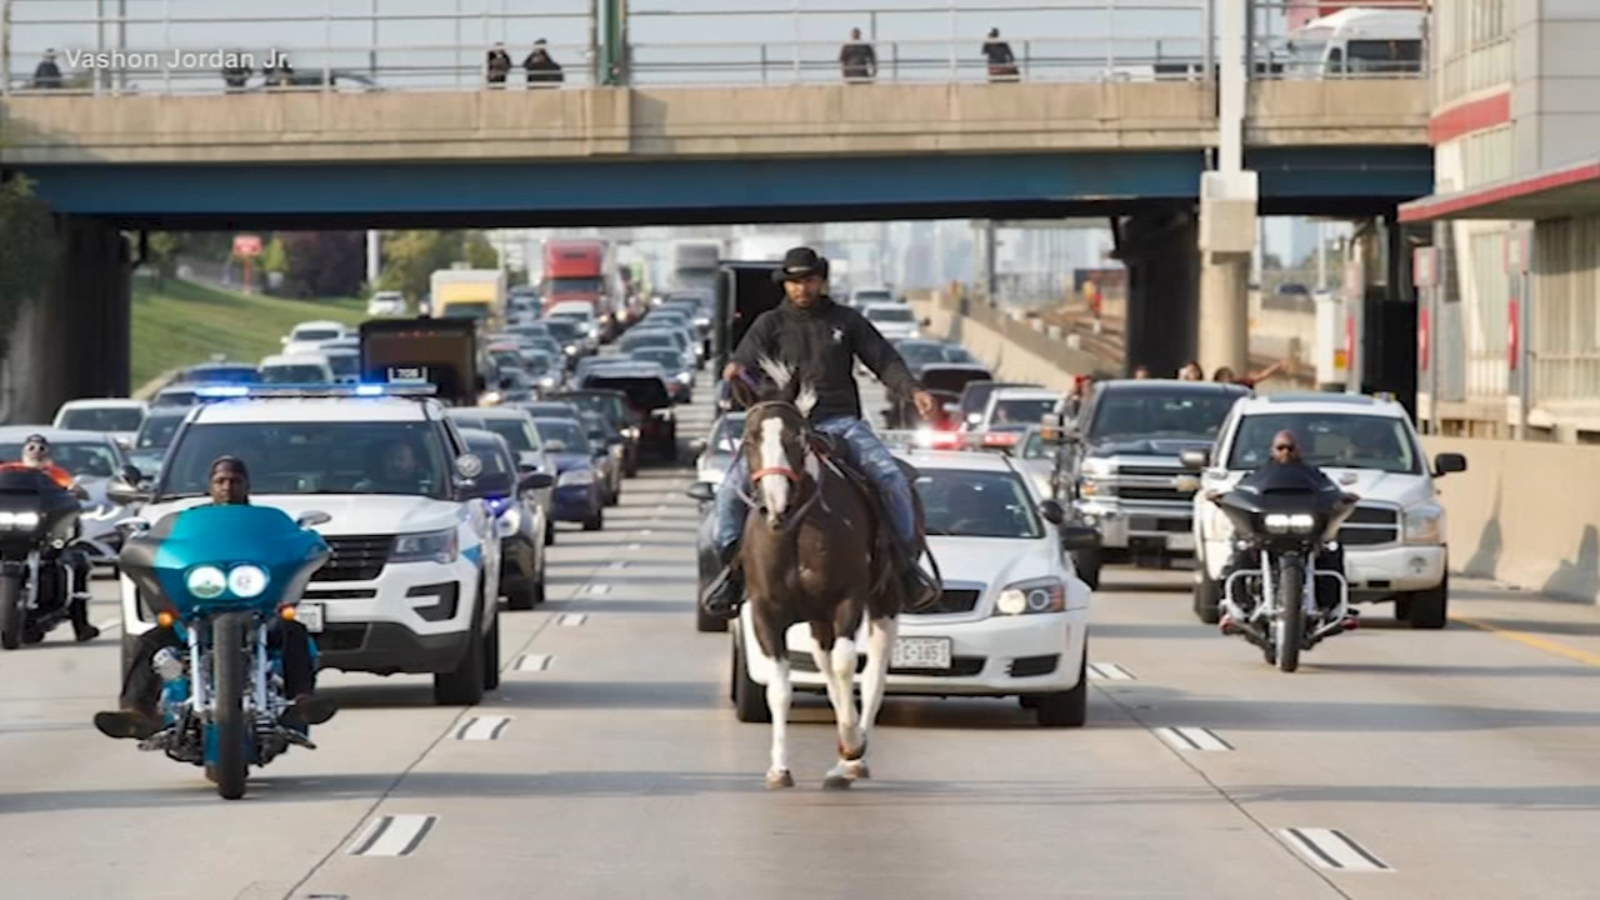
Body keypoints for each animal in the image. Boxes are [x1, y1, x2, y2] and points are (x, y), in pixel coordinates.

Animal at [729, 353, 928, 787]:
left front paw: (852, 745)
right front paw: (779, 768)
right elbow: (780, 689)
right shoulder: (766, 613)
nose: (776, 506)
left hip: (884, 602)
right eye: (750, 440)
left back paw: (852, 757)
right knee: (825, 666)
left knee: (872, 673)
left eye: (797, 439)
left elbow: (845, 666)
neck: (796, 528)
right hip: (818, 618)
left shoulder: (846, 601)